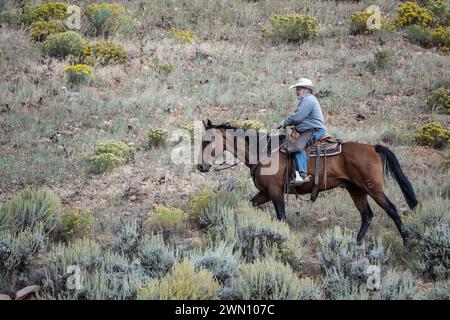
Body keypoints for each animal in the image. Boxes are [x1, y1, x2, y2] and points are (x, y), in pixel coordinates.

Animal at [197, 119, 418, 246]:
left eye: (207, 141)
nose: (201, 166)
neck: (264, 153)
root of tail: (373, 148)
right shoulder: (266, 192)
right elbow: (250, 204)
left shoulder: (275, 192)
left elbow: (281, 217)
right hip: (356, 190)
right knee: (367, 215)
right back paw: (355, 244)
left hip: (373, 188)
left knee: (391, 210)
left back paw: (407, 242)